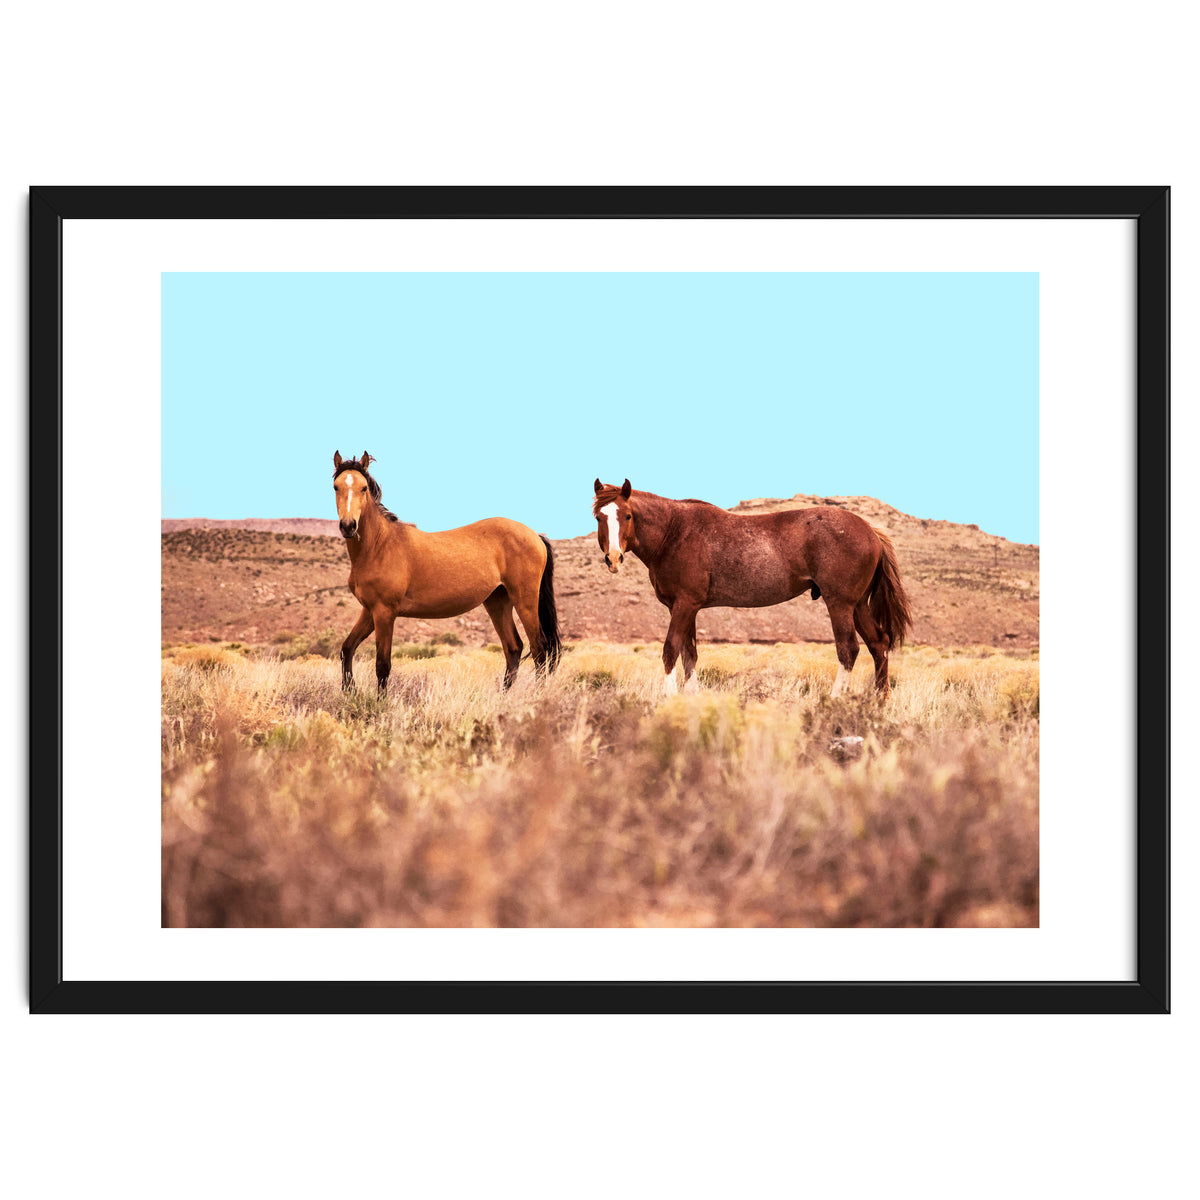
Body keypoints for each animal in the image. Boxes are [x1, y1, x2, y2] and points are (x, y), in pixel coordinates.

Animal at [332, 451, 561, 693]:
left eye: (364, 488)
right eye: (336, 487)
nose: (348, 526)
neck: (379, 546)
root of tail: (535, 535)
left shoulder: (384, 612)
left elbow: (382, 665)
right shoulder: (369, 611)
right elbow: (347, 648)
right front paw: (349, 690)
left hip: (525, 601)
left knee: (540, 649)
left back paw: (537, 695)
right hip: (497, 601)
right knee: (513, 648)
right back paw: (504, 696)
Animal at [592, 478, 912, 698]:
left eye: (627, 516)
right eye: (599, 517)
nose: (613, 558)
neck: (674, 532)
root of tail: (870, 531)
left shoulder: (684, 605)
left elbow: (671, 650)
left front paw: (669, 698)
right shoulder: (687, 608)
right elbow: (689, 654)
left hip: (840, 604)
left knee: (849, 650)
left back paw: (835, 700)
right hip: (857, 606)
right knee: (879, 644)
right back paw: (879, 701)